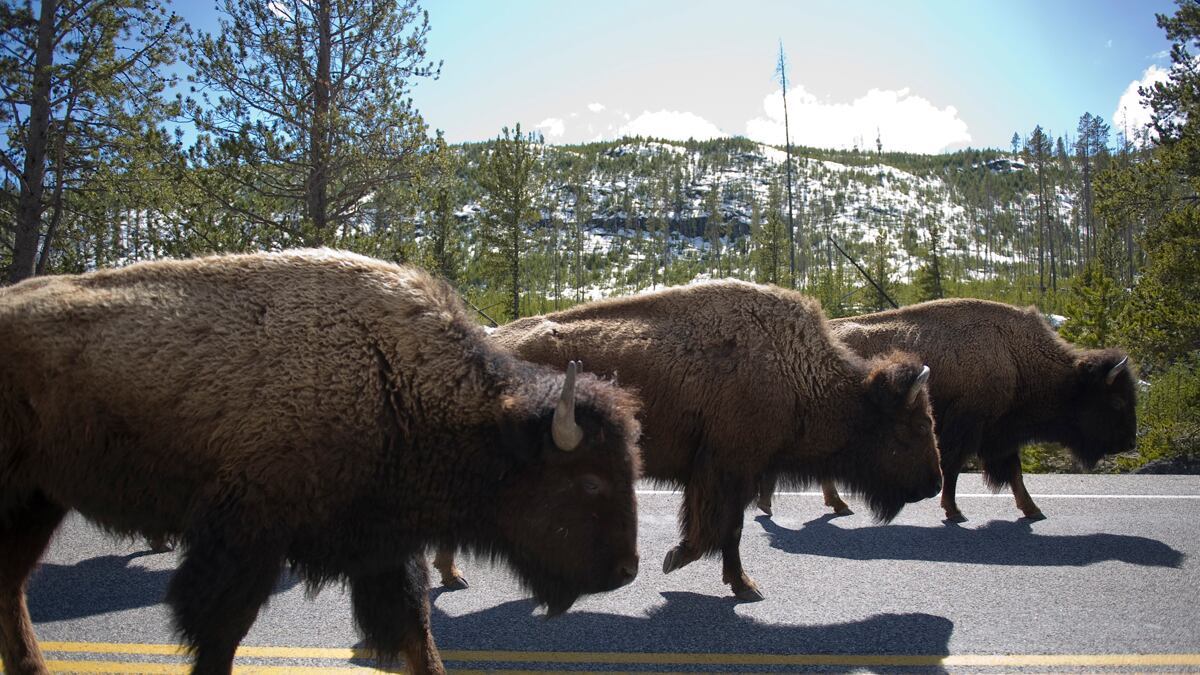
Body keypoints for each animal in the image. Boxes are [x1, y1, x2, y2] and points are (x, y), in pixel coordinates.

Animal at [0, 250, 642, 675]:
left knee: (12, 583)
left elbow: (415, 629)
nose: (626, 572)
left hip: (40, 499)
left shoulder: (381, 547)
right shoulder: (246, 542)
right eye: (589, 482)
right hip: (24, 496)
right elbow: (220, 633)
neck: (393, 379)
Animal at [757, 298, 1136, 522]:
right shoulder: (968, 427)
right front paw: (954, 512)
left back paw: (828, 505)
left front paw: (1032, 510)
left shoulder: (998, 434)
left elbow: (1013, 472)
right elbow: (953, 468)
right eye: (1116, 401)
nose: (1130, 443)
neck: (1015, 355)